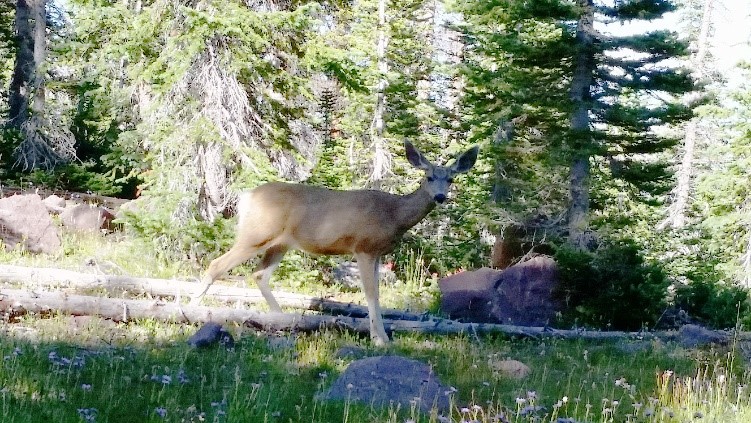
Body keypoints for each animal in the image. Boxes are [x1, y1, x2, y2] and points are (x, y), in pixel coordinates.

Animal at [191, 141, 479, 345]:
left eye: (451, 178)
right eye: (429, 177)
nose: (440, 197)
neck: (394, 214)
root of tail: (246, 197)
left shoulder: (378, 253)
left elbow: (376, 293)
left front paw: (379, 335)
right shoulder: (363, 247)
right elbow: (371, 294)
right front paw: (380, 339)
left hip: (280, 243)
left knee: (259, 274)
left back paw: (283, 318)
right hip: (256, 234)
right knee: (217, 265)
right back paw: (191, 309)